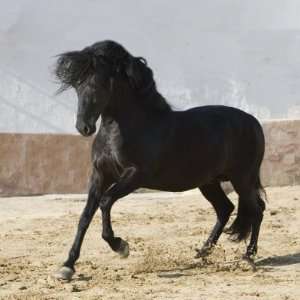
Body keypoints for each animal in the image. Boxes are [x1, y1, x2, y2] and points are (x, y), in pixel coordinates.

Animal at [53, 40, 264, 282]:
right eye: (77, 85)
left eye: (99, 83)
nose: (84, 127)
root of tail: (253, 122)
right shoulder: (100, 175)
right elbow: (85, 216)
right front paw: (67, 266)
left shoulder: (135, 176)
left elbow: (105, 202)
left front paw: (120, 246)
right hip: (209, 182)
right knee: (225, 209)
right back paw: (202, 253)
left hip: (242, 179)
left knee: (257, 210)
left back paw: (248, 257)